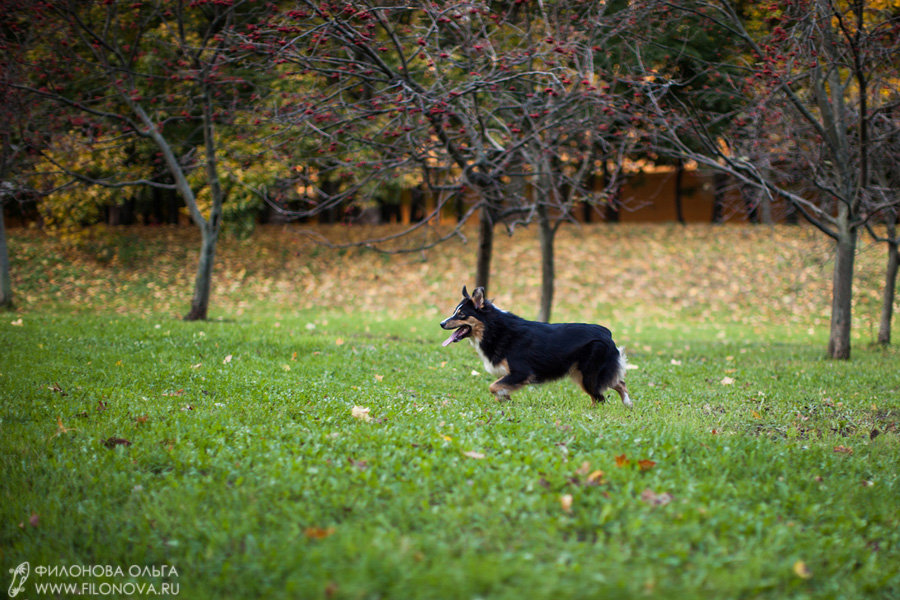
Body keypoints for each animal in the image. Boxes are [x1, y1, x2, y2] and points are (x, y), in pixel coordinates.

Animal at [440, 286, 628, 408]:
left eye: (461, 315)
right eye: (454, 312)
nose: (441, 324)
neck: (493, 328)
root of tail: (606, 332)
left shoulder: (522, 372)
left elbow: (493, 386)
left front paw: (503, 398)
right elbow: (499, 387)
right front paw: (505, 401)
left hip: (587, 375)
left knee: (600, 397)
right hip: (581, 373)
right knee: (619, 382)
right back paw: (628, 405)